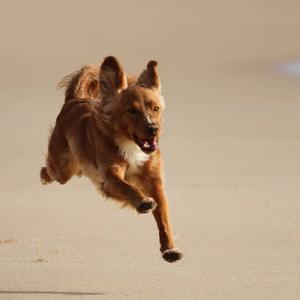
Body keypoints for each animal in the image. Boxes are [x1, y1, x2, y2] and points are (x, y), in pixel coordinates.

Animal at [39, 56, 183, 262]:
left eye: (155, 108)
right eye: (132, 111)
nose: (153, 128)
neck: (130, 144)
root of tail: (73, 100)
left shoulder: (155, 181)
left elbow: (163, 217)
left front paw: (170, 248)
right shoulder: (110, 175)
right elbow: (128, 187)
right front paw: (142, 202)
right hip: (62, 168)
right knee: (51, 171)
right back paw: (43, 176)